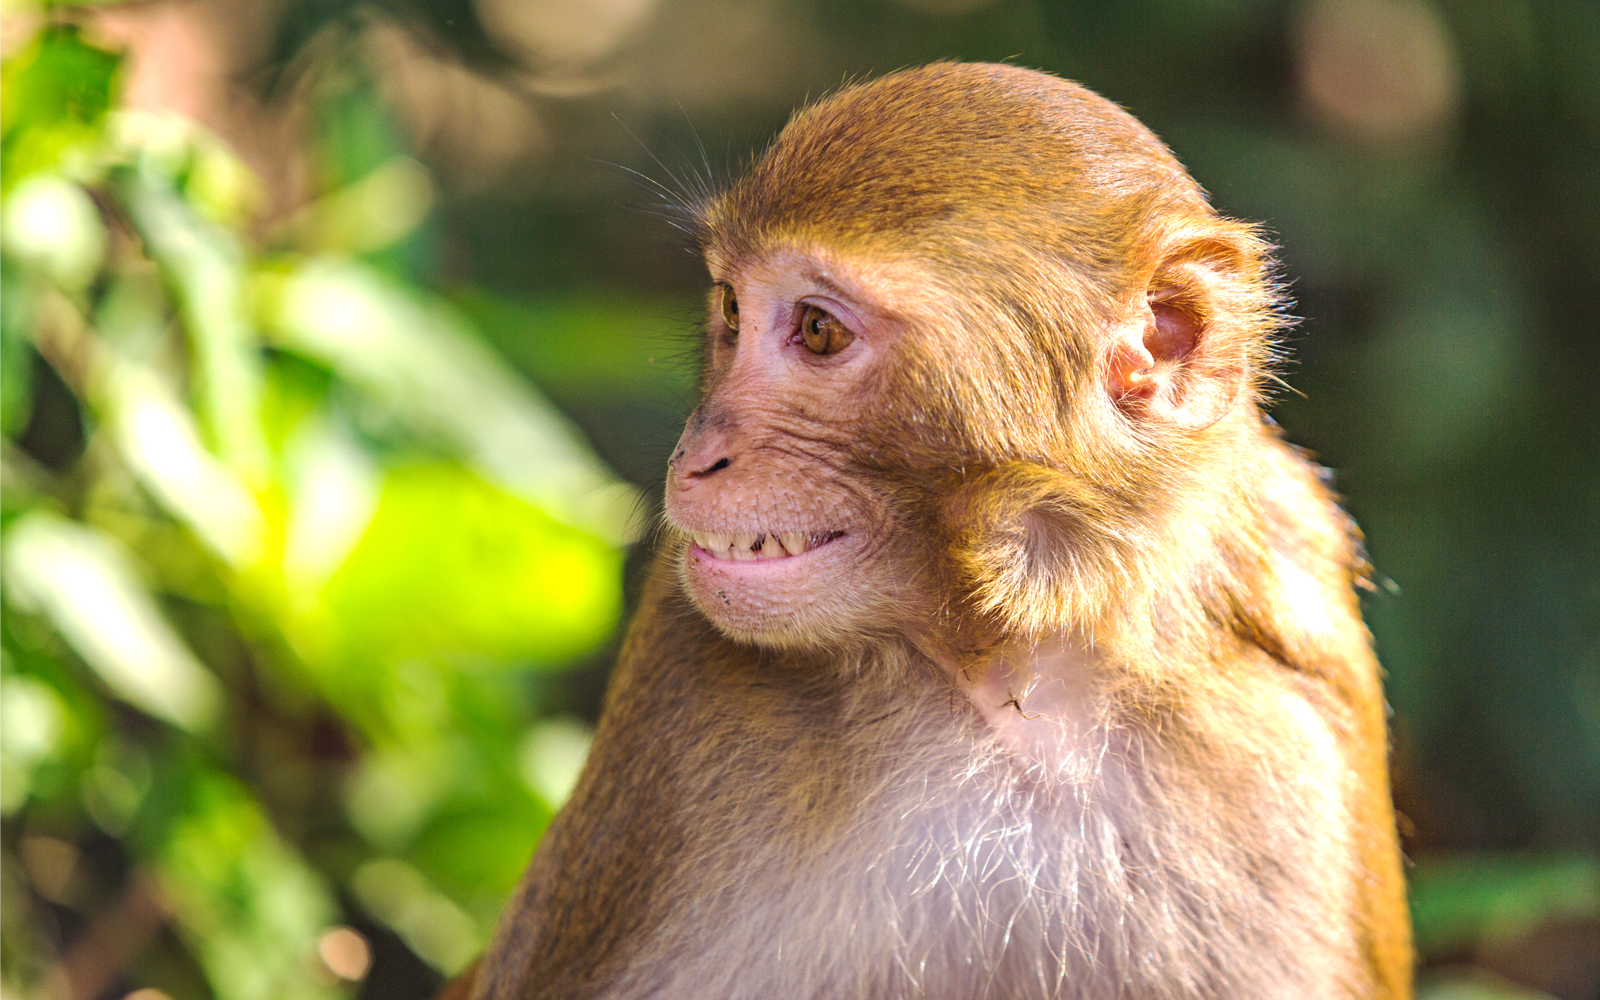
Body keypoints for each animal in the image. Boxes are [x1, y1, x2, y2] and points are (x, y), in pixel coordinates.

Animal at [455, 62, 1412, 999]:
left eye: (817, 329)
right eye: (729, 306)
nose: (695, 455)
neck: (1021, 654)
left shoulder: (1282, 723)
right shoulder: (679, 692)